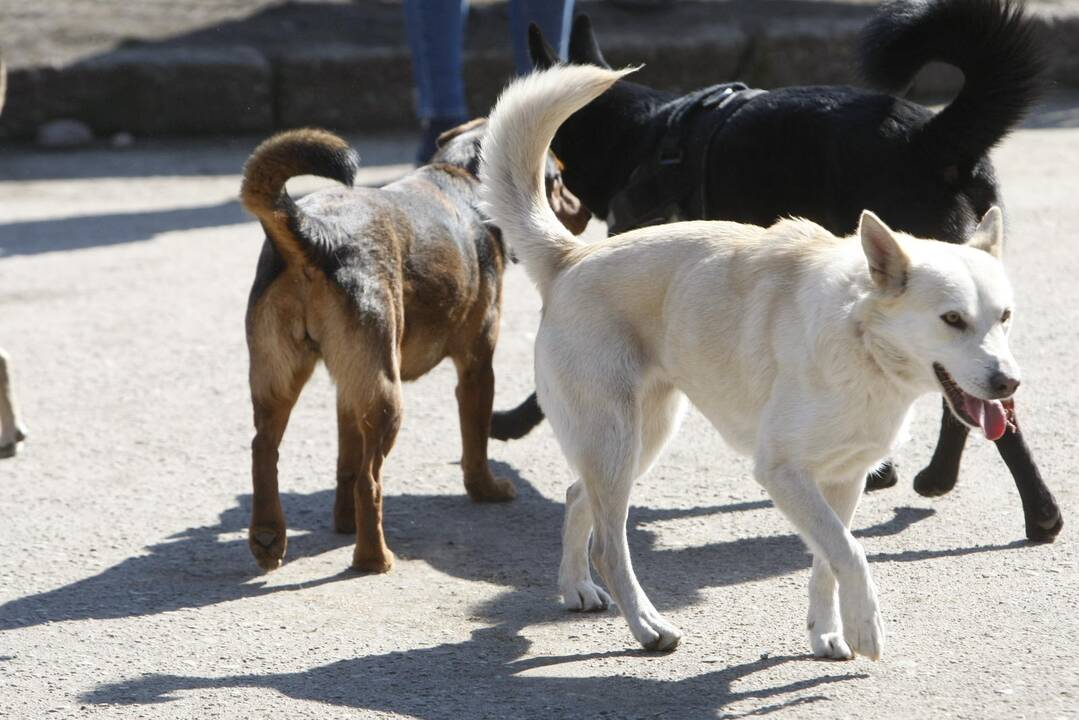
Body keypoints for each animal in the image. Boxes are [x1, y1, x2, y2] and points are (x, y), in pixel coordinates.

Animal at [241, 124, 591, 574]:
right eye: (559, 179)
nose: (584, 211)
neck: (461, 177)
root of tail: (317, 232)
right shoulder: (477, 367)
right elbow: (474, 443)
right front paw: (486, 489)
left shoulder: (349, 387)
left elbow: (346, 462)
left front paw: (344, 522)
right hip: (387, 396)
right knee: (371, 480)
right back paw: (373, 558)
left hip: (283, 380)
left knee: (265, 452)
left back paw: (269, 537)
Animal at [481, 64, 1018, 660]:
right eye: (952, 319)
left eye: (1005, 317)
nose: (1008, 383)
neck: (860, 343)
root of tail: (574, 255)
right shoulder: (783, 473)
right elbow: (850, 553)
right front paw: (865, 627)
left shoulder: (843, 479)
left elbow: (829, 559)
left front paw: (827, 632)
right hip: (616, 440)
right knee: (609, 543)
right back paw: (646, 625)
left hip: (641, 437)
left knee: (578, 496)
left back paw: (576, 586)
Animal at [494, 0, 1061, 539]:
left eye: (557, 169)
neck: (643, 135)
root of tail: (934, 134)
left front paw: (512, 420)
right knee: (980, 401)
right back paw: (996, 496)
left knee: (990, 405)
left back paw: (1026, 508)